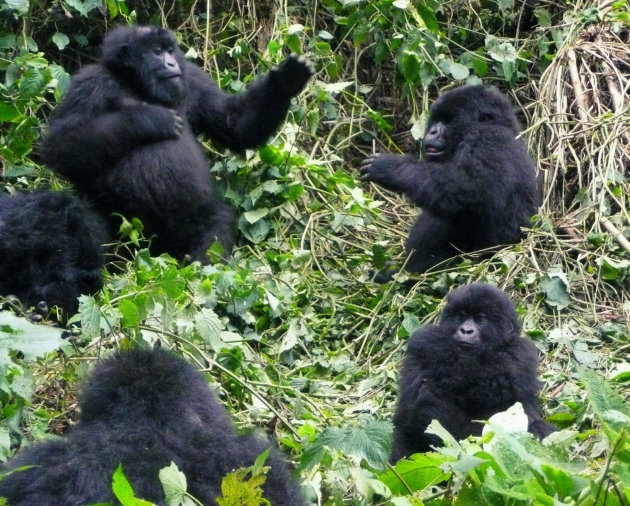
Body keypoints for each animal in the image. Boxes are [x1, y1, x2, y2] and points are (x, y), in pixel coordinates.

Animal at [40, 24, 314, 260]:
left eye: (170, 50)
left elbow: (234, 124)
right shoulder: (90, 83)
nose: (171, 62)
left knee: (216, 224)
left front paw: (285, 81)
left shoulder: (191, 78)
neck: (136, 84)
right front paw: (147, 119)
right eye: (156, 51)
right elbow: (60, 145)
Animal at [362, 87, 540, 276]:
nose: (432, 131)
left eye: (448, 121)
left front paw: (390, 168)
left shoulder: (487, 140)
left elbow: (466, 190)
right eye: (436, 120)